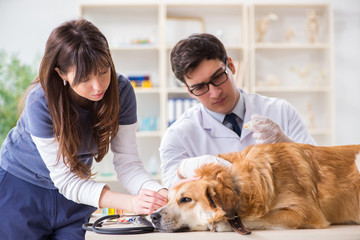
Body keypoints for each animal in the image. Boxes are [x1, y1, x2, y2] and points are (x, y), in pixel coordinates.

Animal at [150, 142, 360, 232]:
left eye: (186, 199)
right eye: (168, 199)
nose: (153, 216)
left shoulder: (305, 213)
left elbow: (256, 218)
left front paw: (222, 223)